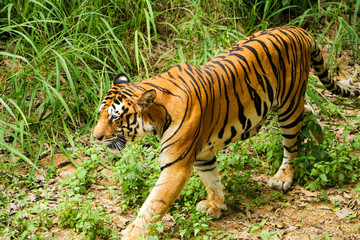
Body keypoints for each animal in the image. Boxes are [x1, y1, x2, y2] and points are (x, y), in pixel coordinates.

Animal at [93, 26, 360, 238]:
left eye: (115, 117)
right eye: (100, 114)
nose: (95, 137)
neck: (157, 115)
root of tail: (299, 30)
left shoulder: (176, 165)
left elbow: (153, 203)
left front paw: (133, 233)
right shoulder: (202, 154)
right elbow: (211, 180)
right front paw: (216, 206)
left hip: (288, 106)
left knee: (292, 144)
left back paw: (283, 178)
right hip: (285, 102)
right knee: (308, 109)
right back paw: (320, 137)